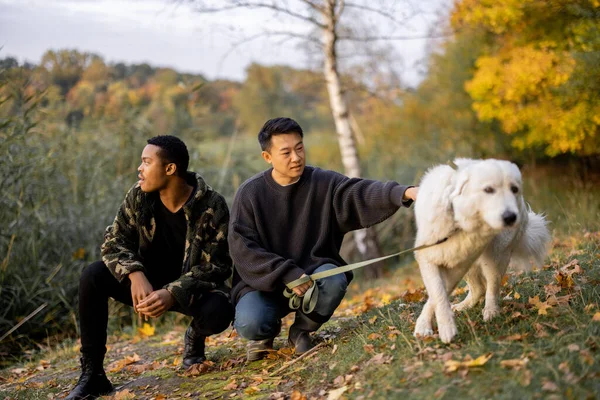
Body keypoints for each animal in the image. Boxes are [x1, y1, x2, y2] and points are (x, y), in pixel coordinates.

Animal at [412, 158, 548, 342]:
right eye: (488, 190)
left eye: (514, 189)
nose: (510, 217)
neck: (458, 224)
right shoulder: (430, 259)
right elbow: (438, 293)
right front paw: (428, 326)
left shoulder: (457, 266)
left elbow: (438, 294)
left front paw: (443, 327)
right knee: (478, 289)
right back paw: (463, 306)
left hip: (493, 258)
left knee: (491, 287)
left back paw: (490, 312)